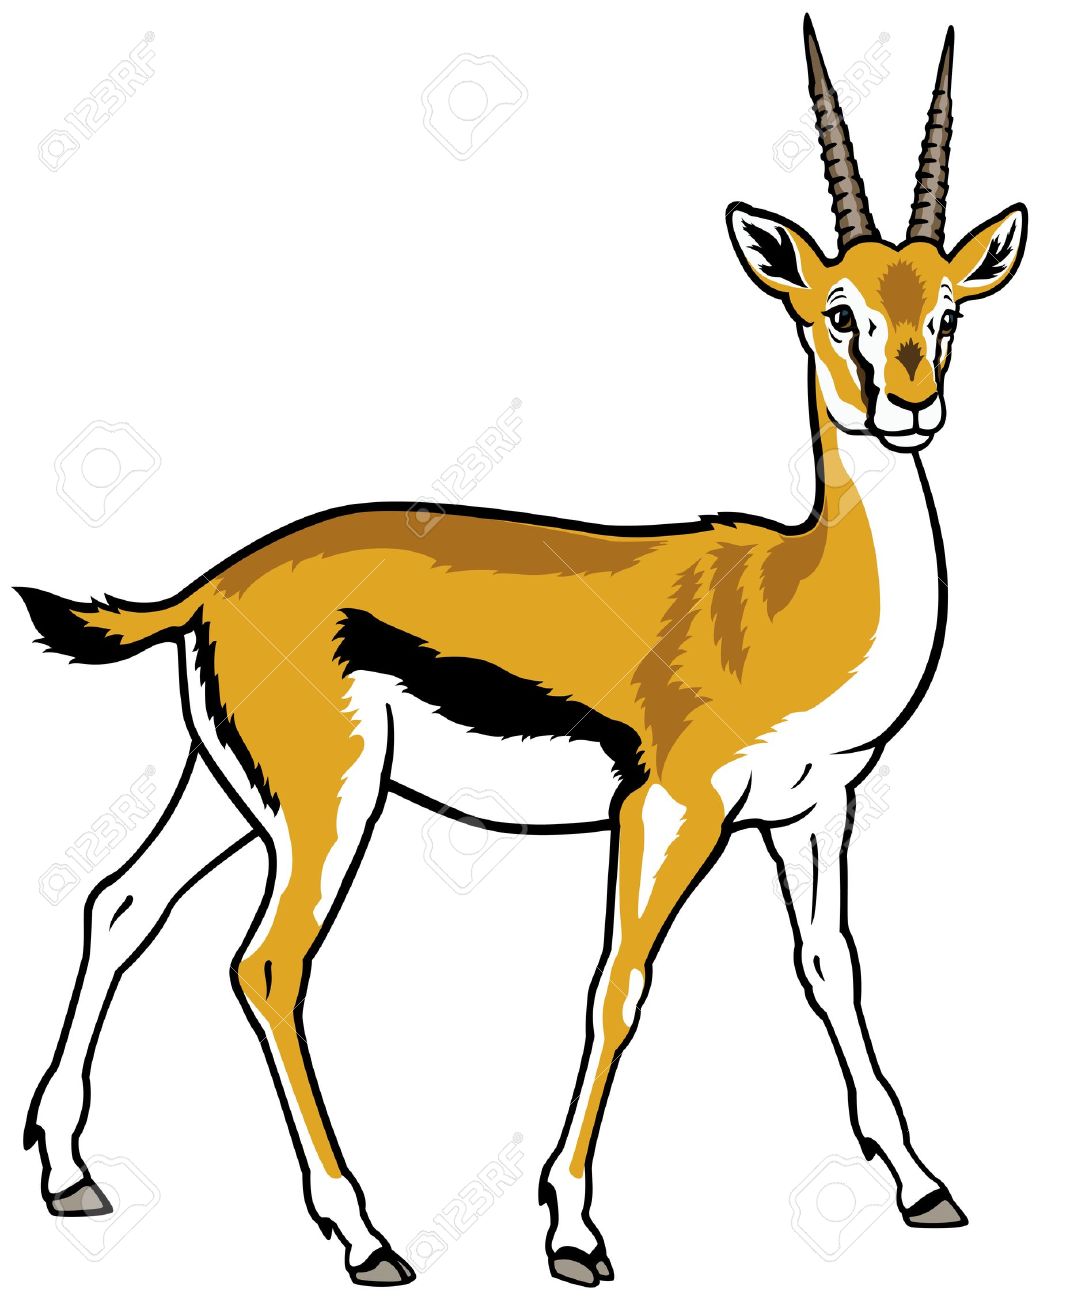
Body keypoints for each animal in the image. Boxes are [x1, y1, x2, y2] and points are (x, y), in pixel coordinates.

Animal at [20, 17, 1025, 1288]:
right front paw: (572, 1230)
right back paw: (366, 1237)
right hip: (328, 806)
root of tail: (211, 585)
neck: (791, 595)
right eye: (834, 309)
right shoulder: (671, 806)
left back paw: (68, 1172)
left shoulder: (812, 809)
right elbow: (616, 986)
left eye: (944, 310)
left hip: (237, 792)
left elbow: (830, 971)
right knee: (266, 964)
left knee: (120, 902)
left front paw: (922, 1184)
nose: (907, 407)